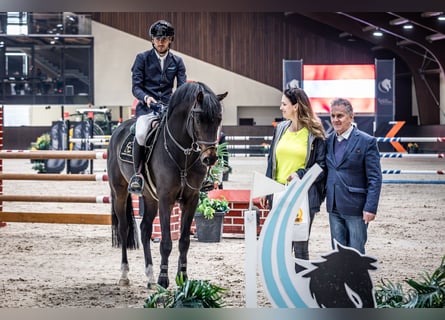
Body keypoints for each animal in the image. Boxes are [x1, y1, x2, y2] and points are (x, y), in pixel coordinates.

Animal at [106, 81, 225, 288]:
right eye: (199, 119)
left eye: (218, 119)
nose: (210, 158)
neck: (183, 153)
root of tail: (118, 130)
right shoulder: (165, 198)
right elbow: (166, 242)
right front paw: (163, 279)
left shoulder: (191, 199)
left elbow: (184, 241)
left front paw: (182, 278)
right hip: (120, 193)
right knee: (124, 228)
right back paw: (125, 275)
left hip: (150, 197)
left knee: (145, 229)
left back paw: (150, 276)